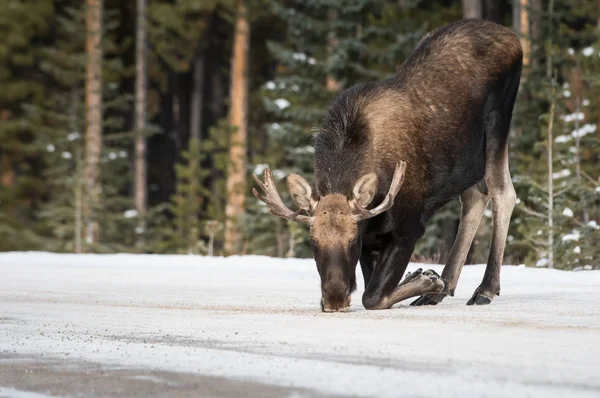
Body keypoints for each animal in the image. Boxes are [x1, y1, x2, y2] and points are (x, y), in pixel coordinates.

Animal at [252, 18, 520, 312]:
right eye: (313, 241)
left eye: (352, 239)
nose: (334, 298)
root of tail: (513, 37)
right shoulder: (372, 239)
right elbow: (373, 286)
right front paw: (424, 280)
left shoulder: (408, 229)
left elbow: (373, 296)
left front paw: (426, 279)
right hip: (469, 159)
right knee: (474, 196)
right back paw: (443, 288)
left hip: (497, 124)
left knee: (503, 193)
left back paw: (483, 288)